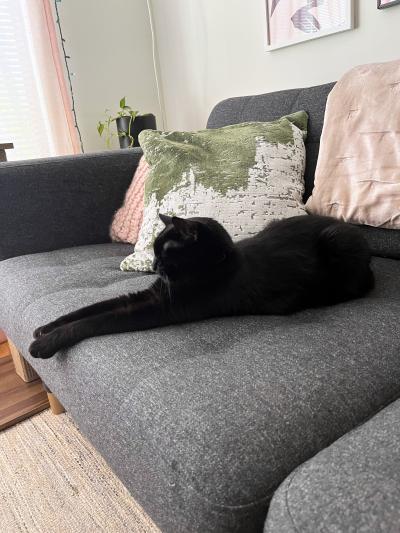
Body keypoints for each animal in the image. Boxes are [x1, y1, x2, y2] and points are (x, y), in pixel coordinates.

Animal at [28, 214, 376, 360]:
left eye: (163, 251)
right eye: (154, 251)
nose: (153, 266)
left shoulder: (158, 307)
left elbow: (96, 320)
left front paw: (43, 345)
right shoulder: (146, 295)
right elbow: (89, 309)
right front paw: (45, 328)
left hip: (339, 245)